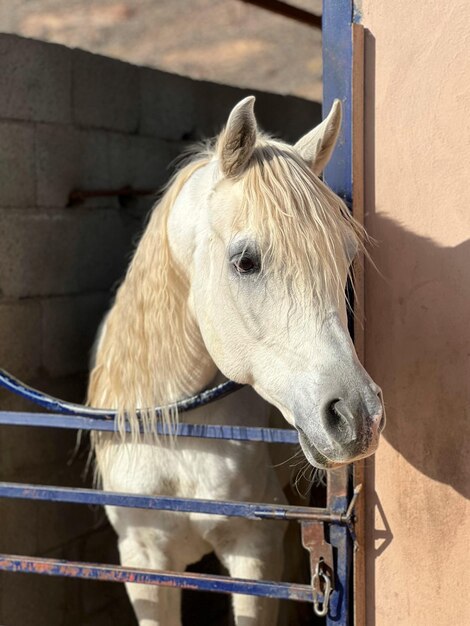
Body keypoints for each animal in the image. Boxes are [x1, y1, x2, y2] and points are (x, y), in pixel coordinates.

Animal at [86, 94, 384, 624]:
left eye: (346, 254)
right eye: (246, 261)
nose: (358, 416)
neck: (178, 432)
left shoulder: (255, 553)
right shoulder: (143, 559)